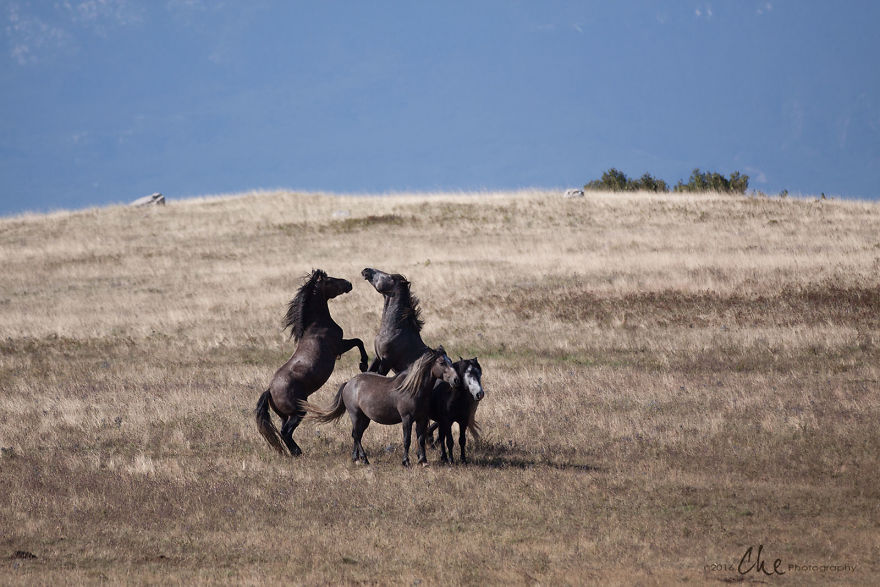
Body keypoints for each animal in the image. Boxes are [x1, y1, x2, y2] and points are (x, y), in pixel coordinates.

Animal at [255, 269, 369, 456]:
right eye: (330, 280)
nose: (349, 283)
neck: (316, 326)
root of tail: (270, 391)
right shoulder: (339, 346)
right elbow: (359, 341)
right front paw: (363, 364)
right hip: (298, 412)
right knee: (286, 432)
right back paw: (298, 452)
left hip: (285, 415)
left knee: (283, 431)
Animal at [300, 347, 459, 466]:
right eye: (442, 362)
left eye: (450, 361)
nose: (456, 380)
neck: (413, 389)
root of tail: (349, 383)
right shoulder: (406, 418)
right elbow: (407, 439)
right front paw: (406, 462)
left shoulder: (422, 419)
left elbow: (420, 438)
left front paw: (423, 461)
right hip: (355, 415)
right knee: (356, 435)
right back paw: (364, 459)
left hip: (365, 418)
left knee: (356, 435)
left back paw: (356, 458)